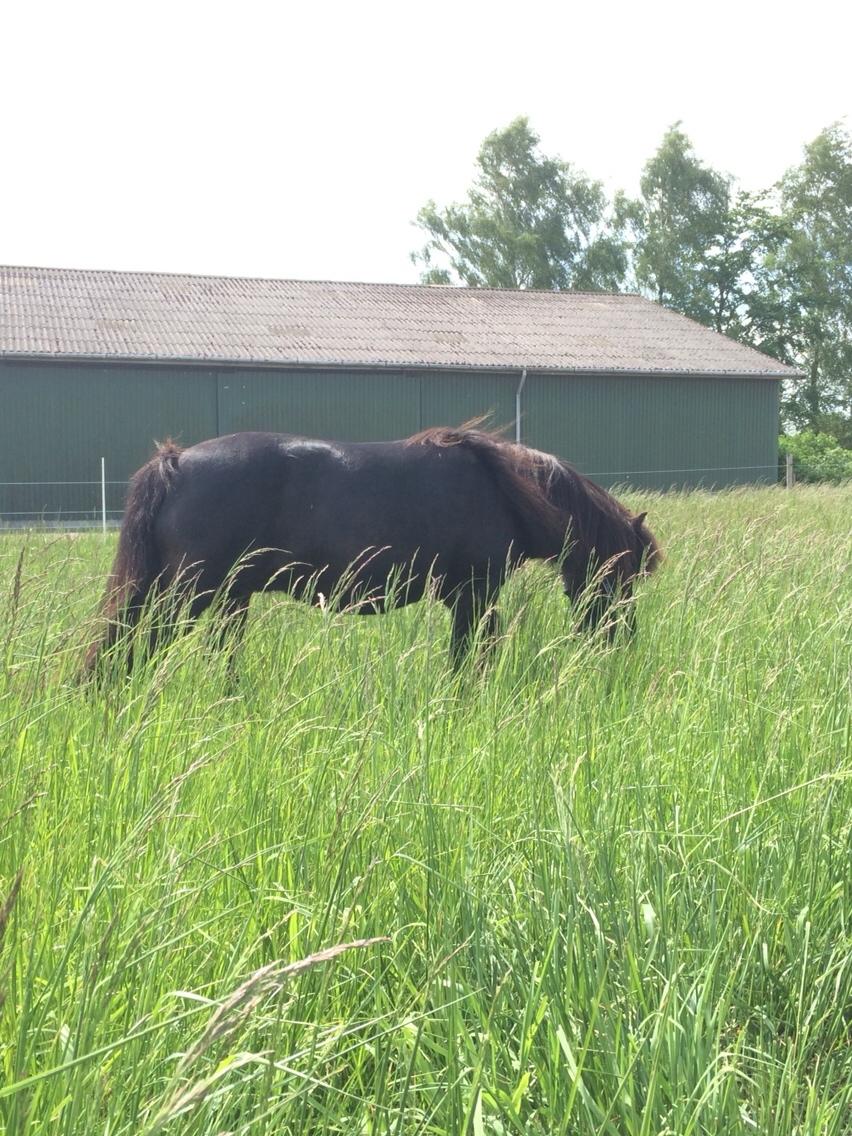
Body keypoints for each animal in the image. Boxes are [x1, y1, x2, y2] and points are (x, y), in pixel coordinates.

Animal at [83, 424, 663, 672]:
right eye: (625, 576)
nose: (621, 645)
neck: (503, 488)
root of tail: (176, 462)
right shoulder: (474, 596)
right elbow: (471, 660)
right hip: (185, 597)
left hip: (228, 600)